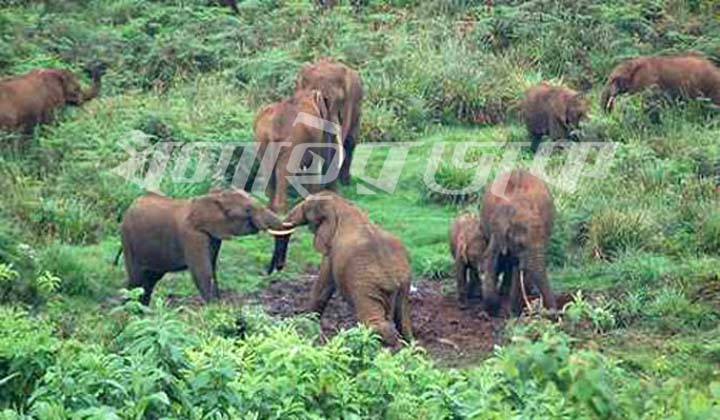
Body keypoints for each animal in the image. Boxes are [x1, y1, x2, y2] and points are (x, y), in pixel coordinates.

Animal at [266, 191, 414, 348]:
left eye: (306, 207)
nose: (278, 268)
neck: (342, 204)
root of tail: (393, 279)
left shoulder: (331, 249)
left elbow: (323, 283)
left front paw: (305, 324)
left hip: (366, 284)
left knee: (375, 322)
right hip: (403, 285)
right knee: (403, 322)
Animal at [478, 169, 556, 316]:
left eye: (544, 241)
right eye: (520, 244)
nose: (554, 313)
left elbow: (520, 267)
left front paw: (513, 312)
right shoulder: (497, 227)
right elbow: (490, 257)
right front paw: (490, 310)